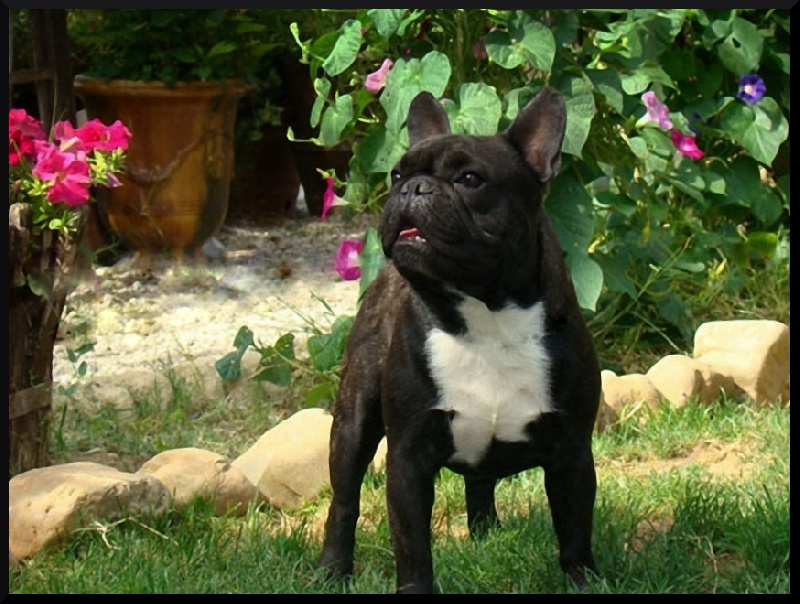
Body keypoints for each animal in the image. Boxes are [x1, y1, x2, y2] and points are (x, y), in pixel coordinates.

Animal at [318, 87, 601, 594]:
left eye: (470, 179)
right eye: (396, 174)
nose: (412, 188)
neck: (485, 318)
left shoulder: (571, 454)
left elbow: (574, 531)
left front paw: (583, 582)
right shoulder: (408, 461)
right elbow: (412, 549)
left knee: (480, 480)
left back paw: (486, 536)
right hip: (353, 420)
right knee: (344, 500)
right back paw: (332, 569)